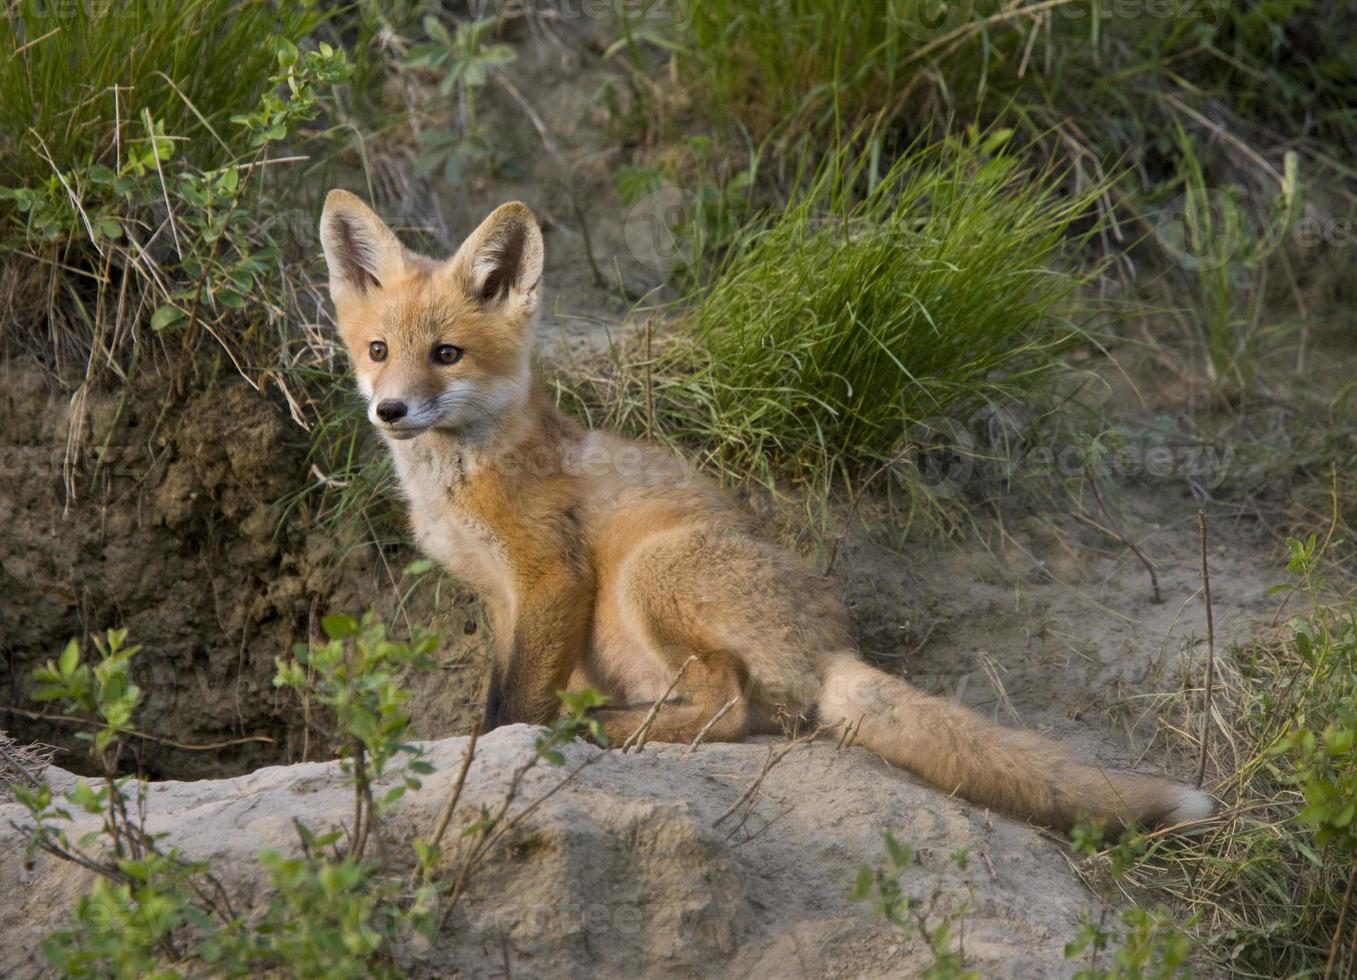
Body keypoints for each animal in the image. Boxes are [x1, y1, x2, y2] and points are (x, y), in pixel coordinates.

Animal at [320, 192, 1221, 830]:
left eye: (447, 355)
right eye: (377, 351)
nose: (390, 410)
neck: (464, 475)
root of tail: (832, 651)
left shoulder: (552, 577)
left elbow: (511, 708)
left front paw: (498, 751)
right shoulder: (500, 597)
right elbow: (500, 693)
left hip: (648, 574)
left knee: (728, 710)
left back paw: (606, 729)